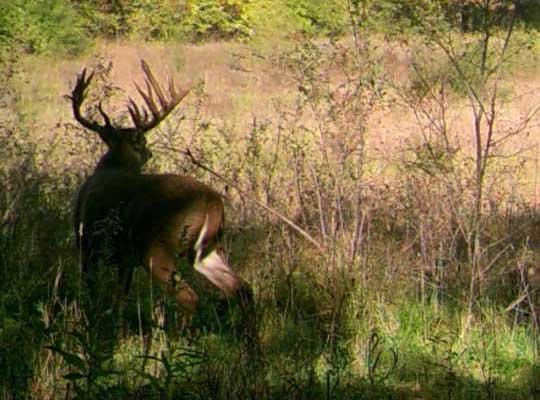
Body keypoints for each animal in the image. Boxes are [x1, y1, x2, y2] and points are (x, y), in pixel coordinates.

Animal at [69, 61, 253, 320]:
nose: (149, 153)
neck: (116, 164)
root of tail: (212, 203)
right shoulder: (126, 260)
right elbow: (119, 297)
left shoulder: (86, 241)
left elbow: (90, 287)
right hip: (207, 250)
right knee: (242, 288)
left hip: (157, 248)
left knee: (189, 297)